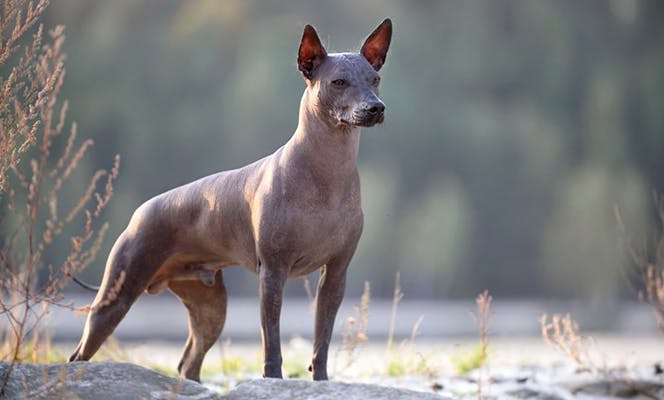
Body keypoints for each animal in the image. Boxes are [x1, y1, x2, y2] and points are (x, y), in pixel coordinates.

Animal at [70, 18, 392, 382]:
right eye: (338, 82)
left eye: (375, 80)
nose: (375, 108)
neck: (327, 173)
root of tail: (140, 212)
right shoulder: (273, 273)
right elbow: (272, 340)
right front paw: (273, 380)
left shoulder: (336, 274)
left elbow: (321, 339)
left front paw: (320, 381)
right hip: (117, 296)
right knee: (80, 354)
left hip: (210, 307)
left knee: (189, 362)